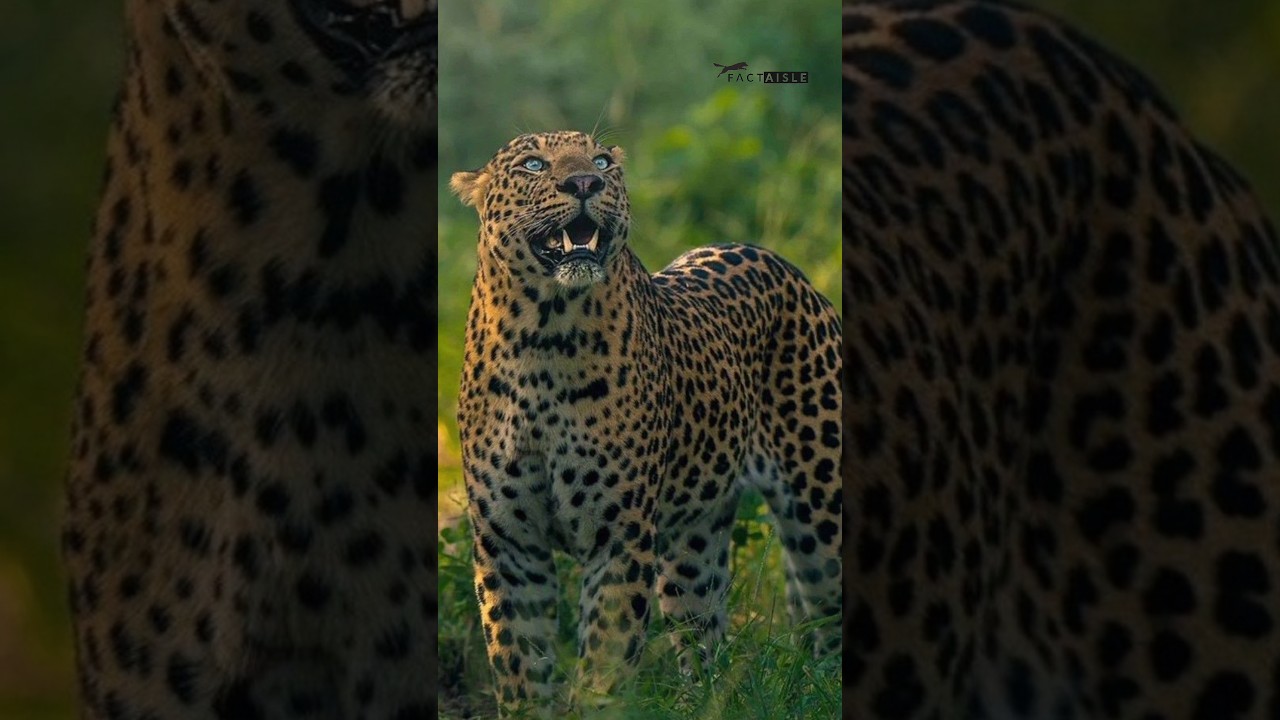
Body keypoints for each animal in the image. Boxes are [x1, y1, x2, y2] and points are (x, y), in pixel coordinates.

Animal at [449, 130, 843, 712]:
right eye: (534, 164)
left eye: (601, 161)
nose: (584, 183)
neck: (543, 334)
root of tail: (772, 257)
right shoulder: (509, 541)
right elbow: (519, 662)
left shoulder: (618, 536)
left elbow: (605, 656)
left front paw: (596, 708)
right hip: (694, 545)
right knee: (705, 637)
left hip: (821, 513)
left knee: (828, 616)